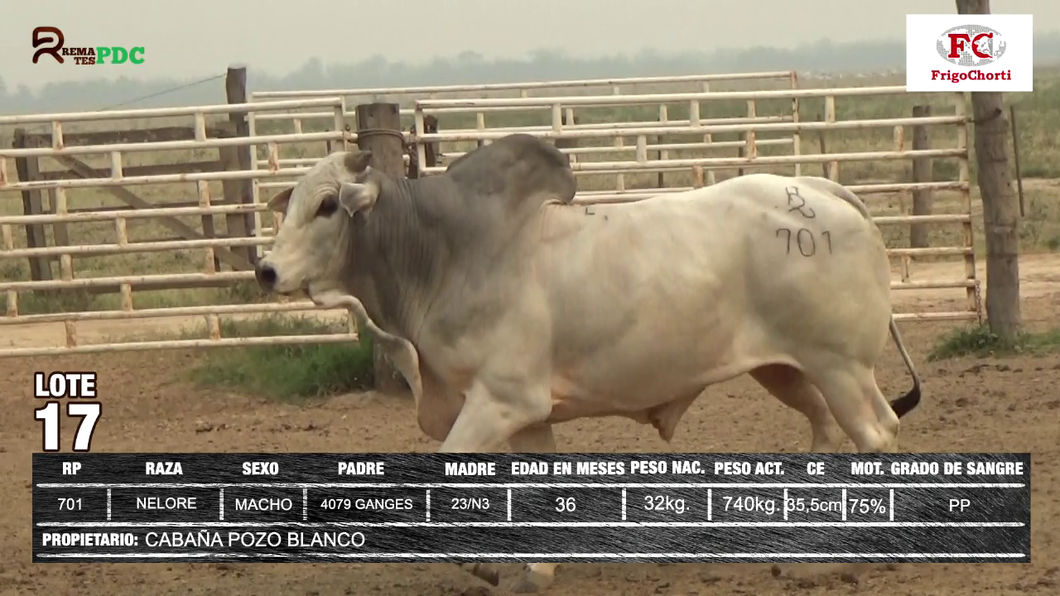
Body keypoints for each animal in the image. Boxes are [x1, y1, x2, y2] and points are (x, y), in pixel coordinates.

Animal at [254, 133, 920, 589]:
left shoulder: (500, 401)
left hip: (839, 367)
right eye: (290, 206)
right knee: (826, 431)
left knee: (876, 435)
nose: (266, 270)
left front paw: (483, 565)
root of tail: (826, 191)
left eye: (327, 206)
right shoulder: (528, 416)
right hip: (786, 369)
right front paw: (534, 571)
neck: (445, 254)